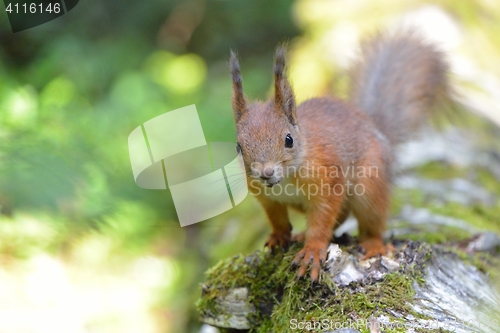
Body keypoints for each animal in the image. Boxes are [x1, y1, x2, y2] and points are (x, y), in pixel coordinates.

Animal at [229, 30, 452, 280]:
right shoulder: (266, 197)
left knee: (370, 220)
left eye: (288, 139)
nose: (265, 172)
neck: (286, 180)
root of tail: (378, 132)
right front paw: (279, 236)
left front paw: (313, 249)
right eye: (239, 147)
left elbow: (323, 219)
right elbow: (277, 218)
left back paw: (373, 244)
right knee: (343, 216)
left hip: (370, 186)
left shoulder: (328, 181)